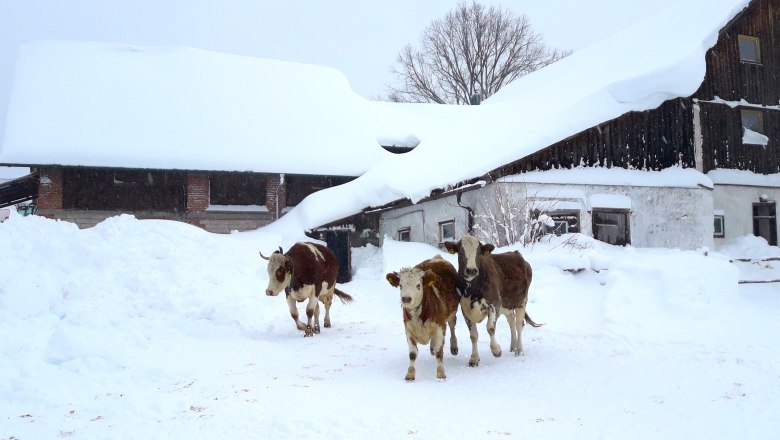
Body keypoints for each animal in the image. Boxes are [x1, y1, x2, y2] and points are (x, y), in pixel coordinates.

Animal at [386, 254, 460, 382]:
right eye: (400, 285)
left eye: (418, 285)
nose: (406, 299)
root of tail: (437, 257)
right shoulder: (408, 328)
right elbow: (412, 353)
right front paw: (410, 374)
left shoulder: (440, 326)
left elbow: (439, 352)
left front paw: (441, 373)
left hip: (452, 314)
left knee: (452, 326)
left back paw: (454, 346)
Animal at [444, 235, 544, 366]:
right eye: (460, 253)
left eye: (479, 252)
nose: (471, 270)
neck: (473, 290)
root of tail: (516, 254)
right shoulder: (465, 309)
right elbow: (473, 336)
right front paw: (474, 359)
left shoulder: (494, 304)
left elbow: (490, 328)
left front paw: (496, 350)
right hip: (507, 306)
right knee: (511, 321)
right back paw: (513, 346)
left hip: (522, 301)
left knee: (519, 324)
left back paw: (519, 350)